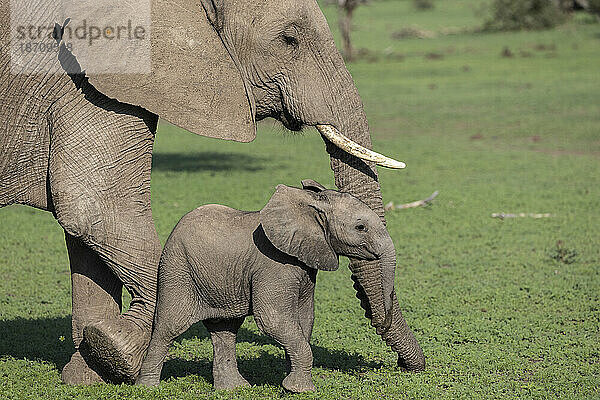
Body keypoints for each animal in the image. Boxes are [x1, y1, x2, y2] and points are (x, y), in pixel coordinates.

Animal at [136, 180, 398, 392]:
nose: (381, 322)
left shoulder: (304, 266)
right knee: (168, 327)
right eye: (360, 227)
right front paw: (300, 390)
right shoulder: (274, 265)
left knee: (225, 329)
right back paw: (147, 389)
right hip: (177, 270)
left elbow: (305, 318)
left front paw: (291, 382)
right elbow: (273, 319)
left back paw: (234, 389)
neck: (309, 204)